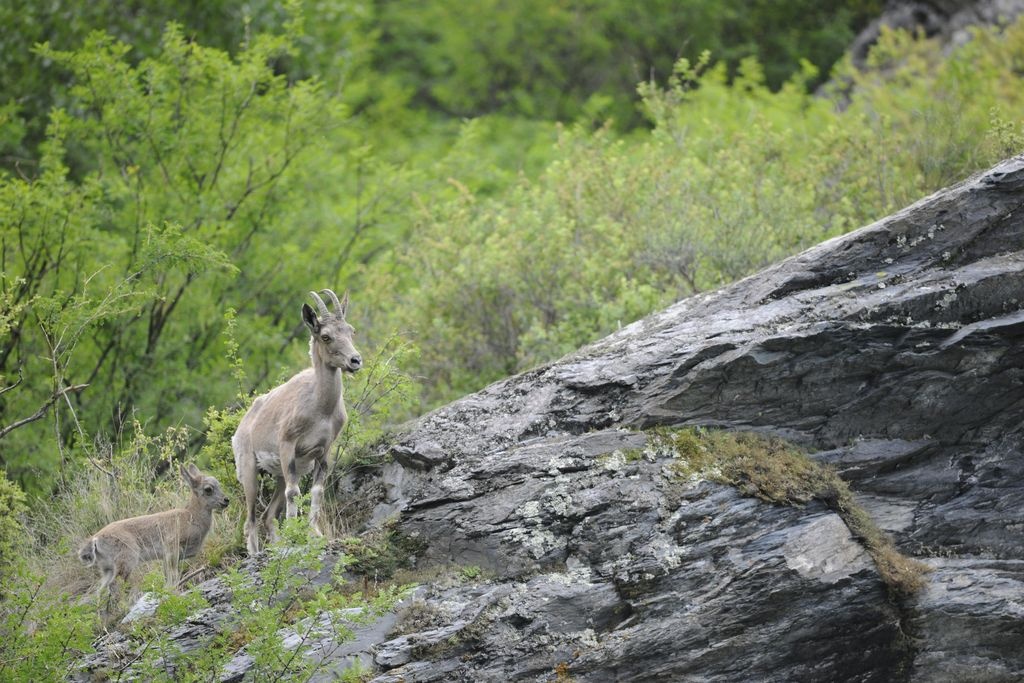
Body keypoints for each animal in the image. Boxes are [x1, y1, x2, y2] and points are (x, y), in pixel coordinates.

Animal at [232, 288, 360, 557]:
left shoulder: (324, 451)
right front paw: (296, 534)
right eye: (325, 336)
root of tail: (241, 427)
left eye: (350, 330)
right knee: (251, 520)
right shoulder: (287, 444)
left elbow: (316, 491)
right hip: (249, 469)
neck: (320, 408)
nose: (355, 361)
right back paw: (255, 554)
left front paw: (314, 533)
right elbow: (294, 492)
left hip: (279, 474)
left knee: (268, 515)